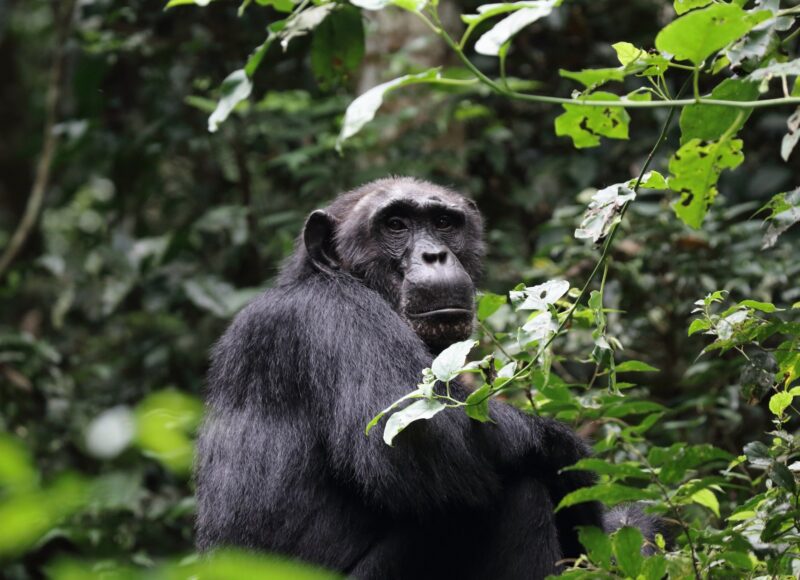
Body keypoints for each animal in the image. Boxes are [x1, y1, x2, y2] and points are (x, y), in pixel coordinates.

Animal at [197, 178, 652, 580]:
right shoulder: (338, 317)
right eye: (396, 224)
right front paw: (571, 461)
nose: (435, 255)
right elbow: (421, 440)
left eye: (444, 223)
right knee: (512, 493)